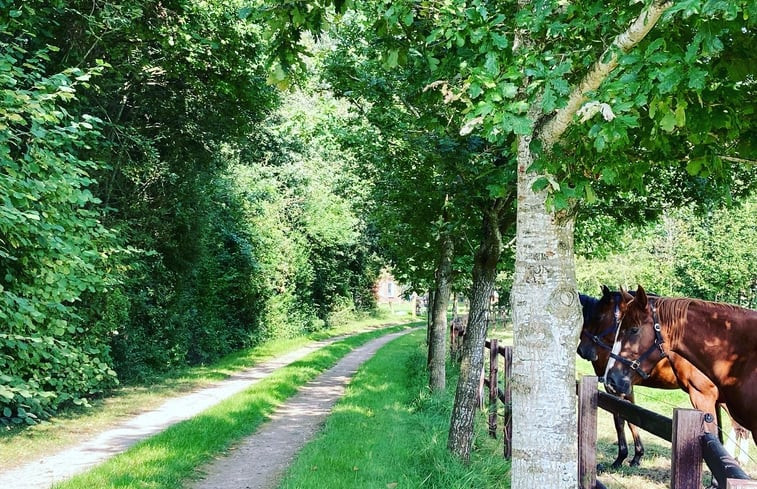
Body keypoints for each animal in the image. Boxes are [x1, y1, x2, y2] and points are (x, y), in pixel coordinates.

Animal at [580, 286, 728, 466]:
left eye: (599, 316)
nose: (582, 350)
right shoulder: (624, 386)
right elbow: (630, 416)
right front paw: (636, 455)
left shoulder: (616, 388)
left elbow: (620, 420)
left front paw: (622, 457)